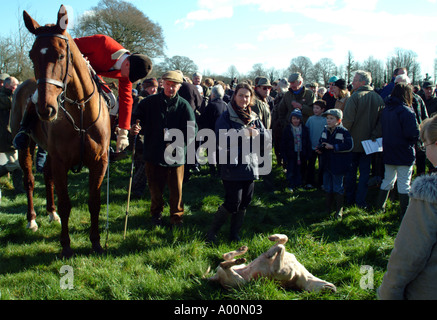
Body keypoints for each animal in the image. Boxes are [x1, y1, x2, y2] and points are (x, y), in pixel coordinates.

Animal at [10, 6, 110, 258]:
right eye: (32, 55)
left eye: (61, 55)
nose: (45, 109)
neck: (81, 113)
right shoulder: (61, 161)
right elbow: (66, 204)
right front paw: (65, 245)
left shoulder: (99, 162)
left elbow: (94, 202)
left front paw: (95, 242)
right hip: (27, 147)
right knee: (30, 181)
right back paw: (32, 219)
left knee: (47, 177)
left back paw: (51, 212)